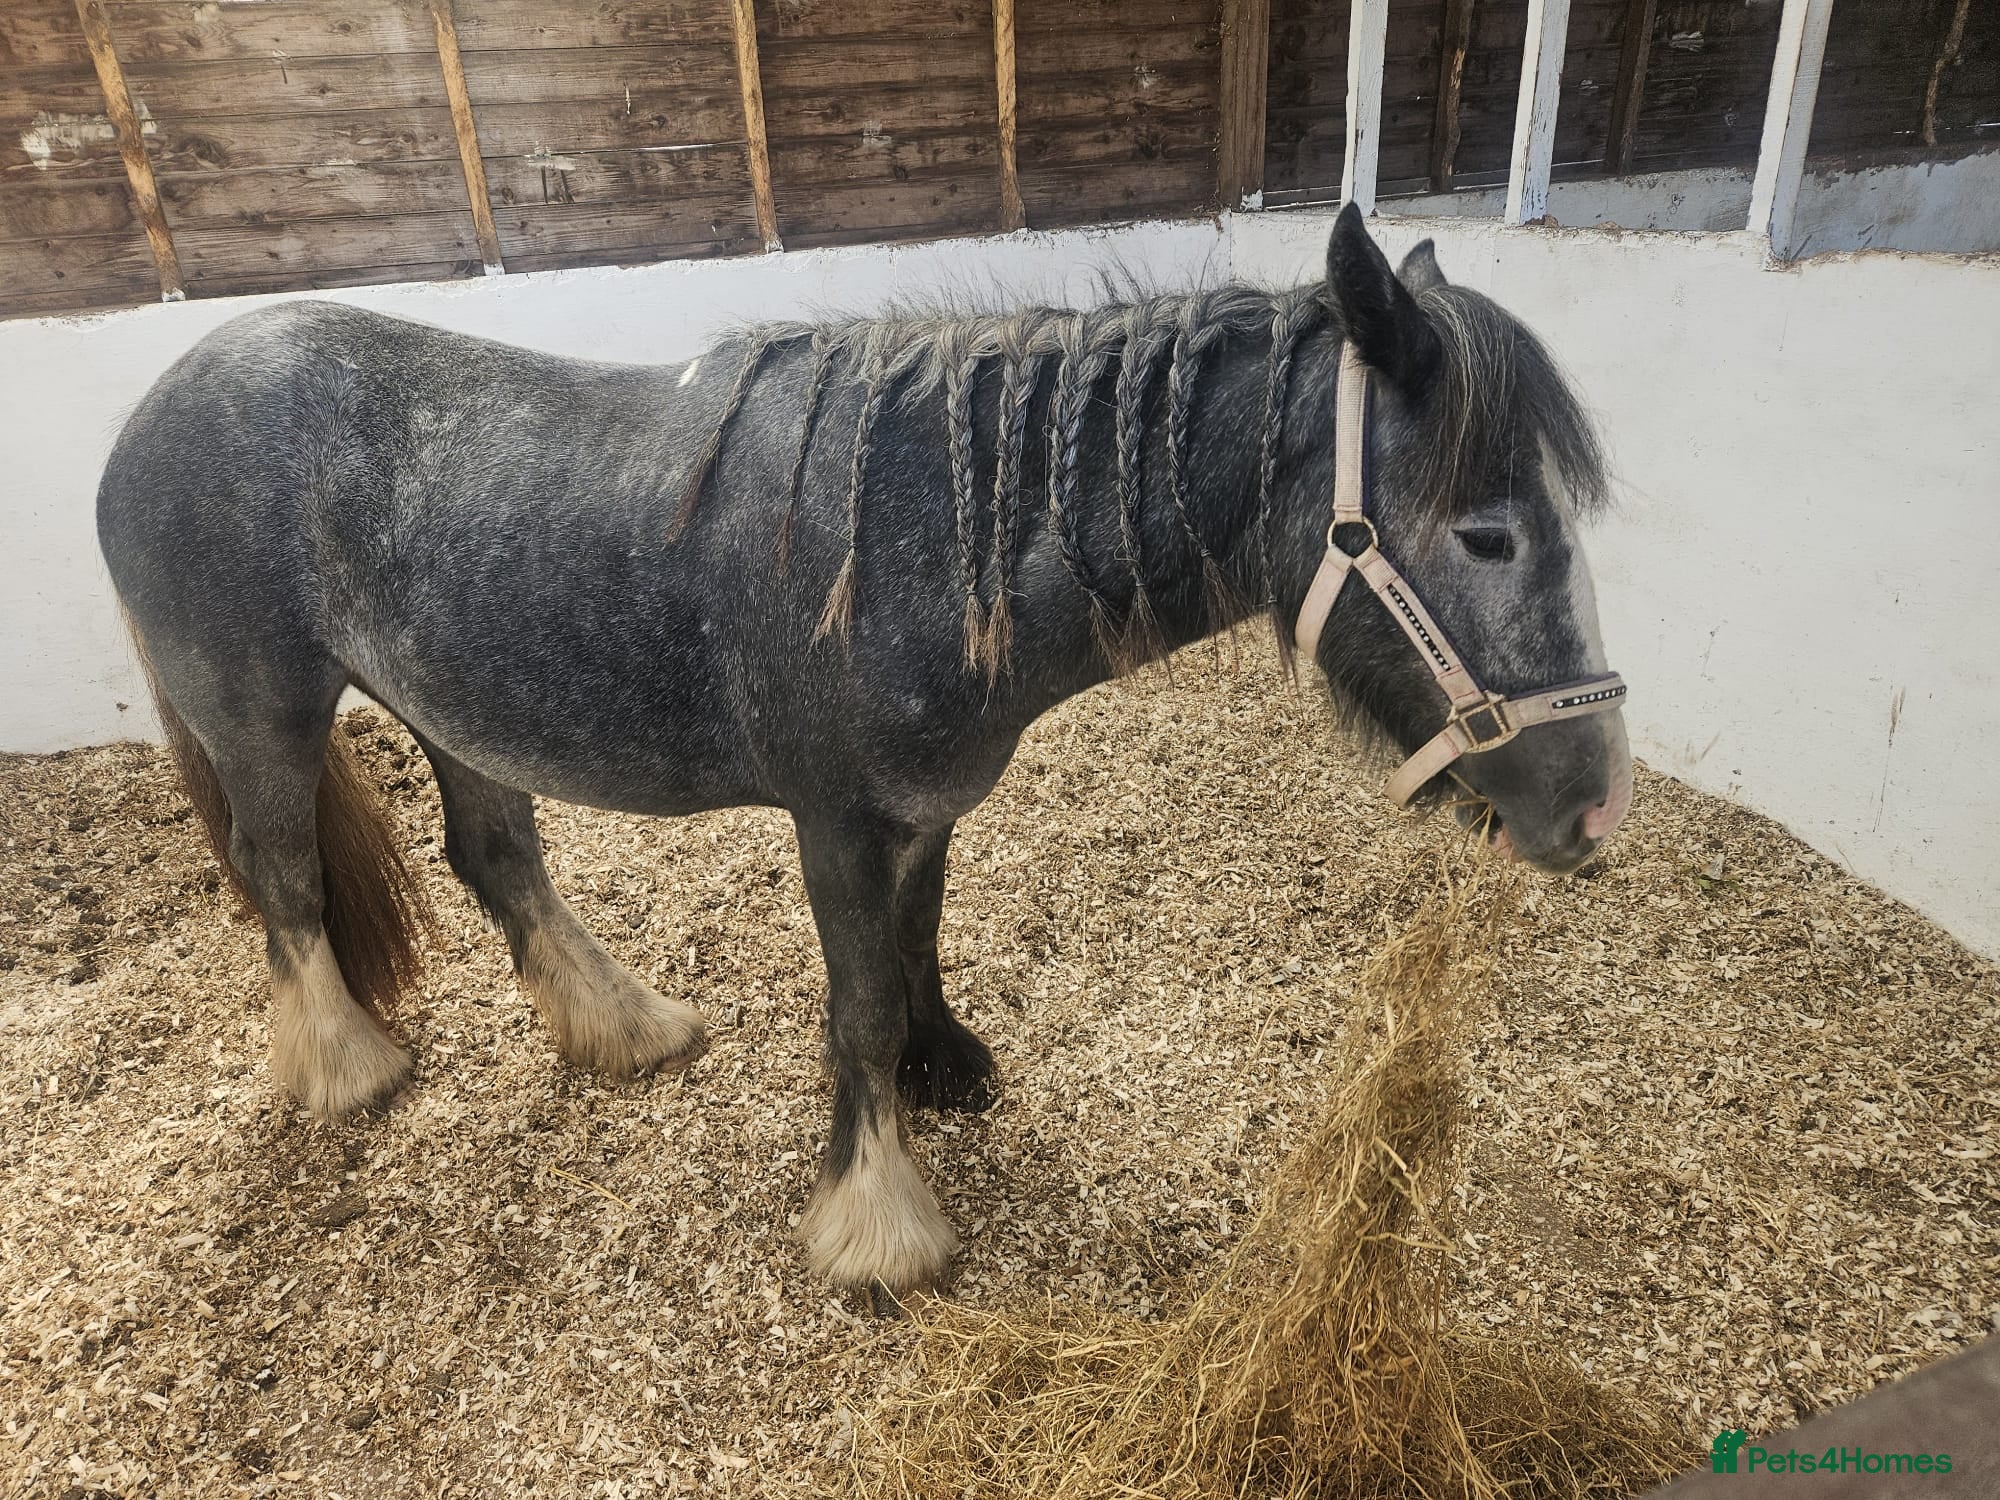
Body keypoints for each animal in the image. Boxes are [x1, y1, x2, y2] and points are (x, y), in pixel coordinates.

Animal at [98, 205, 1631, 1293]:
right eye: (1487, 533)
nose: (1593, 812)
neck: (927, 538)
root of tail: (149, 412)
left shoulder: (927, 810)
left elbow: (918, 948)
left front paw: (945, 1070)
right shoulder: (834, 823)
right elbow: (859, 1006)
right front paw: (877, 1222)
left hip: (453, 707)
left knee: (496, 857)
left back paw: (625, 1028)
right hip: (267, 719)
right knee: (285, 878)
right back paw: (345, 1070)